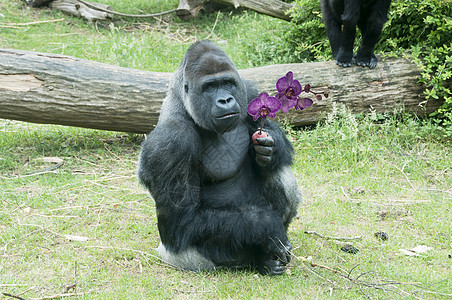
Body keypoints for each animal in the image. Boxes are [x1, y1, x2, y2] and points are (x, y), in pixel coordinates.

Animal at [138, 40, 300, 276]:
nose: (225, 100)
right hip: (175, 255)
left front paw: (270, 148)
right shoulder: (170, 142)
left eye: (227, 83)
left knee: (281, 175)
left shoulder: (248, 91)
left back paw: (265, 260)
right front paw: (266, 224)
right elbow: (183, 222)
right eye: (209, 87)